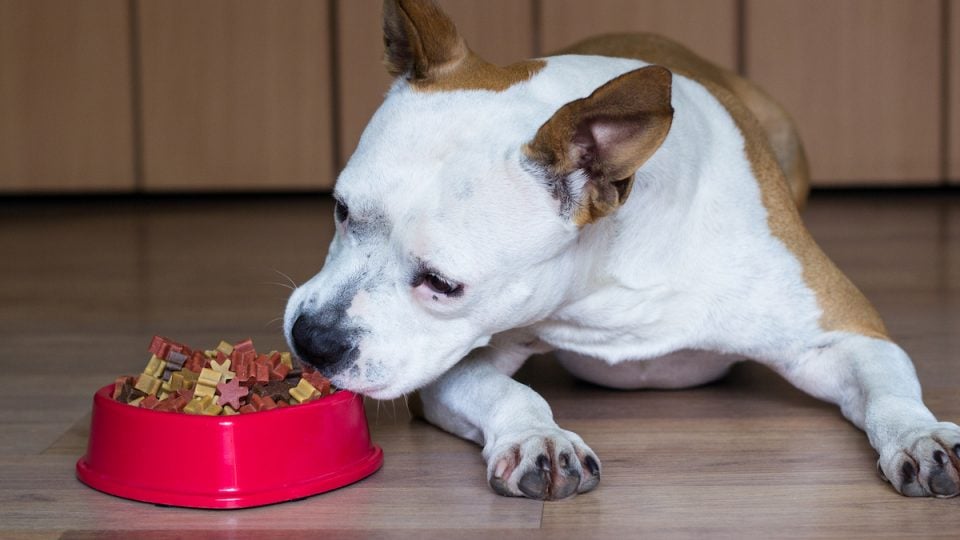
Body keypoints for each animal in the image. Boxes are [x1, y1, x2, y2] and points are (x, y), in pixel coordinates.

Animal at [284, 0, 960, 502]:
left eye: (443, 284)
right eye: (341, 210)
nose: (311, 339)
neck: (607, 277)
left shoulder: (845, 335)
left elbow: (888, 390)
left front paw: (920, 434)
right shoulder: (450, 363)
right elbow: (507, 391)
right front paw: (539, 437)